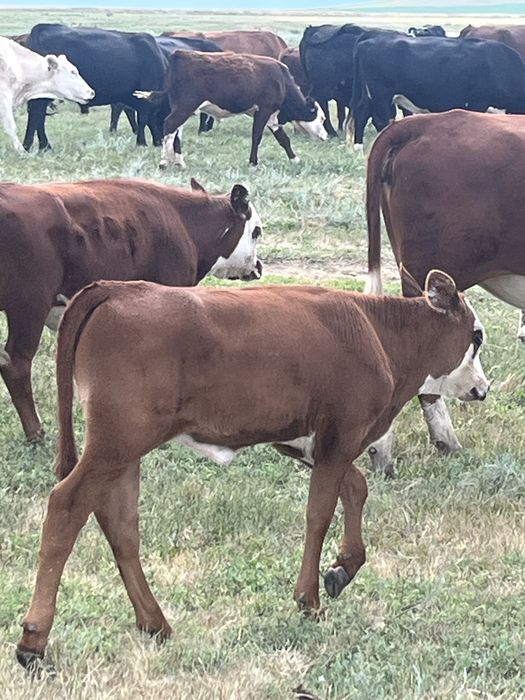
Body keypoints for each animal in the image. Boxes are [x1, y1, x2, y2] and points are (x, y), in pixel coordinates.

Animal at [0, 178, 262, 442]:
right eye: (257, 231)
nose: (259, 266)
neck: (185, 223)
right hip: (30, 306)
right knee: (17, 364)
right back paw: (36, 432)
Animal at [15, 269, 488, 672]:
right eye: (477, 336)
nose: (483, 389)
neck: (378, 331)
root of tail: (118, 288)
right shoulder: (340, 438)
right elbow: (320, 514)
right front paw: (309, 598)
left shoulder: (312, 442)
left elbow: (356, 488)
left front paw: (342, 568)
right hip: (116, 442)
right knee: (66, 507)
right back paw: (34, 641)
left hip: (124, 453)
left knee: (120, 525)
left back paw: (154, 622)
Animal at [23, 23, 167, 151]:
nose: (162, 141)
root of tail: (40, 28)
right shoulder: (144, 98)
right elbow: (144, 118)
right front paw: (142, 143)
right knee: (37, 116)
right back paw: (40, 146)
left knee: (37, 116)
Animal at [138, 50, 327, 169]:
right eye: (322, 118)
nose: (325, 136)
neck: (281, 80)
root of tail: (179, 54)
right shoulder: (263, 110)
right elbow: (256, 136)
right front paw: (253, 163)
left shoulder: (272, 117)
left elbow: (283, 139)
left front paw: (295, 159)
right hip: (185, 106)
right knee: (169, 125)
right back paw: (164, 162)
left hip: (182, 108)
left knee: (176, 132)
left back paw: (179, 162)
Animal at [351, 32, 525, 146]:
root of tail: (370, 39)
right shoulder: (478, 103)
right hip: (381, 93)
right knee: (381, 120)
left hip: (369, 93)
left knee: (361, 113)